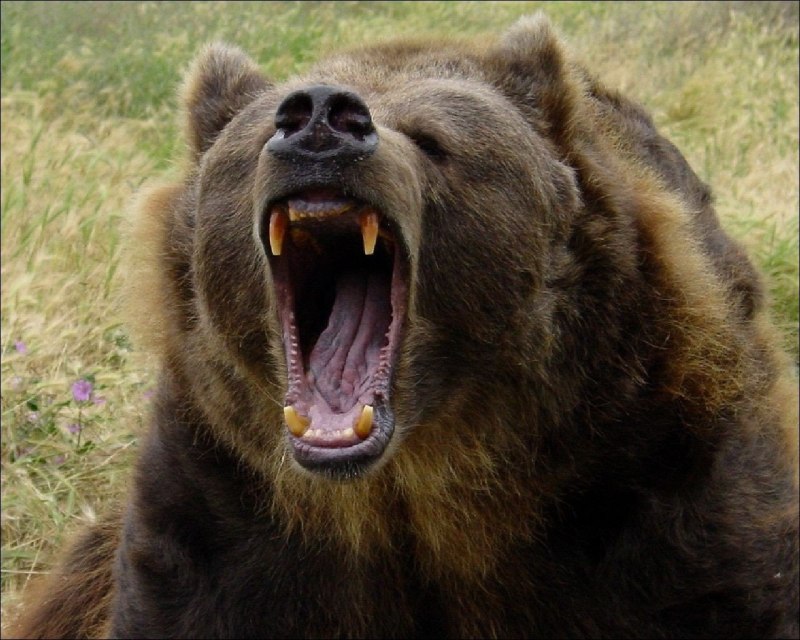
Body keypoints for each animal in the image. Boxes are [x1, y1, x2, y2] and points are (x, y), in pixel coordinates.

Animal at [10, 14, 798, 639]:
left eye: (432, 138)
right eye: (267, 128)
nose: (321, 118)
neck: (416, 486)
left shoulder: (654, 469)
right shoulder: (225, 504)